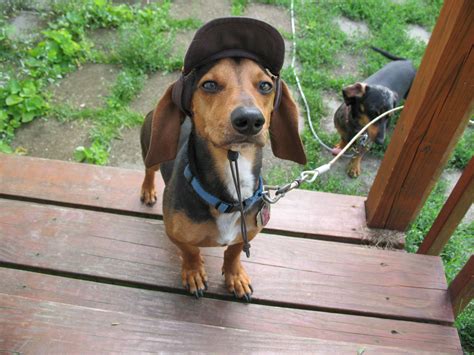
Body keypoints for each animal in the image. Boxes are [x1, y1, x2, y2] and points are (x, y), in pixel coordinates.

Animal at [139, 18, 306, 302]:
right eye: (209, 85)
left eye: (265, 85)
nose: (250, 119)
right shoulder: (174, 233)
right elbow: (190, 251)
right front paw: (194, 273)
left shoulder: (248, 232)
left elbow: (234, 252)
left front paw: (235, 276)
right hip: (152, 149)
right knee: (149, 170)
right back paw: (148, 190)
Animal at [334, 48, 414, 178]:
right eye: (374, 113)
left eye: (388, 116)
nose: (381, 142)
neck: (357, 128)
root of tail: (407, 62)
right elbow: (344, 139)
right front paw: (340, 147)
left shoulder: (367, 142)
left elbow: (359, 153)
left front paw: (354, 167)